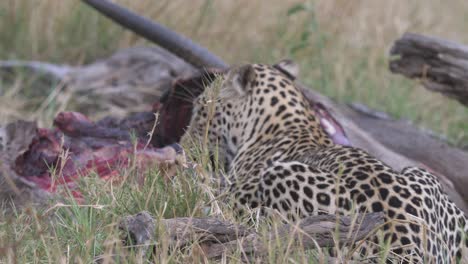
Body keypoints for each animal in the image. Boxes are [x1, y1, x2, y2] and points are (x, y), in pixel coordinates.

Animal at [182, 60, 468, 262]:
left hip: (284, 177)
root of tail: (407, 245)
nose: (184, 144)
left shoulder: (236, 191)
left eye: (201, 108)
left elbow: (209, 193)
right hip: (424, 177)